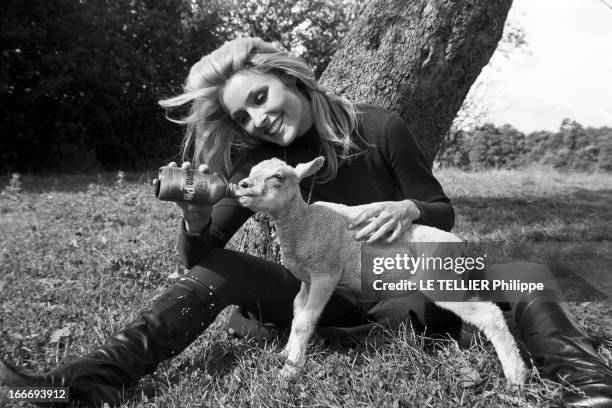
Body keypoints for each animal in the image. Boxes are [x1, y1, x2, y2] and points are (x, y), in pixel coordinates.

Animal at [234, 155, 532, 382]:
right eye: (251, 171)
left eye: (278, 177)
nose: (242, 185)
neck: (303, 224)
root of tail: (461, 246)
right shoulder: (306, 279)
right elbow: (296, 312)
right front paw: (285, 354)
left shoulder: (325, 273)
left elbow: (304, 322)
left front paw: (290, 371)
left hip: (440, 281)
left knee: (489, 314)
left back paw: (516, 376)